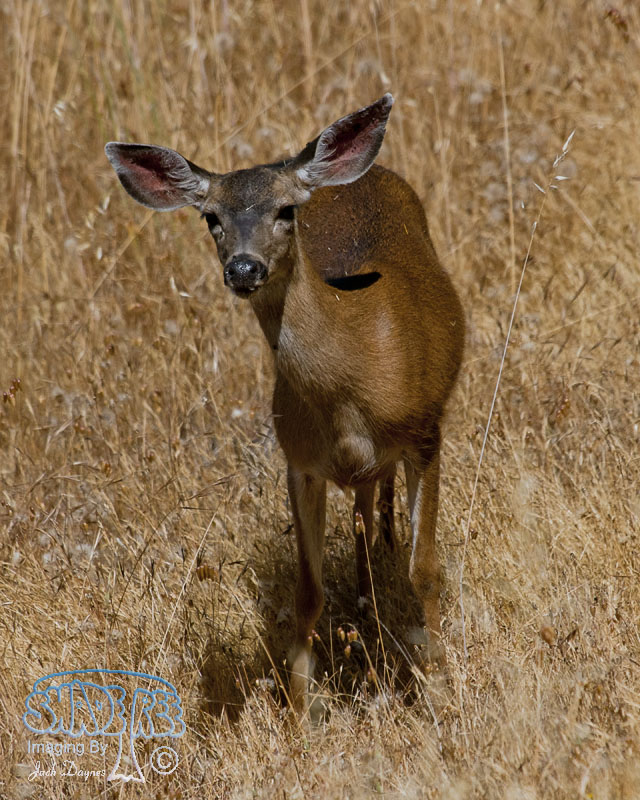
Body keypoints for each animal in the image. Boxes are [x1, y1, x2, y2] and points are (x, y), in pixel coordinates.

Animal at [105, 94, 465, 715]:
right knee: (365, 512)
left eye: (285, 212)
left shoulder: (425, 434)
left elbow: (427, 571)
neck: (351, 387)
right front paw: (300, 709)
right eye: (211, 217)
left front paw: (439, 687)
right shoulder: (298, 460)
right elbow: (307, 591)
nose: (244, 268)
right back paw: (367, 599)